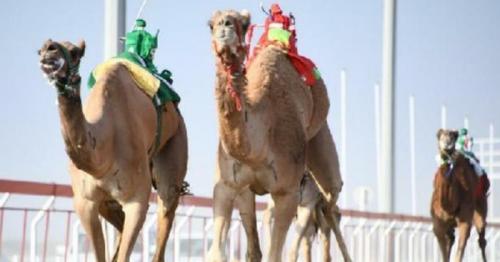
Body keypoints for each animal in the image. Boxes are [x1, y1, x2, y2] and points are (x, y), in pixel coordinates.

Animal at [38, 40, 188, 260]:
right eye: (40, 50)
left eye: (74, 52)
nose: (49, 49)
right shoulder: (85, 202)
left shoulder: (136, 201)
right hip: (108, 201)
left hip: (176, 141)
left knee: (167, 201)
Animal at [205, 10, 350, 262]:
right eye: (210, 24)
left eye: (244, 23)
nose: (225, 25)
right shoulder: (227, 185)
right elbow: (221, 252)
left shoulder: (287, 193)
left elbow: (276, 254)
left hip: (321, 144)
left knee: (331, 206)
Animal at [432, 129, 486, 262]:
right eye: (439, 136)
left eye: (453, 136)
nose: (447, 143)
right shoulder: (438, 225)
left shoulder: (465, 220)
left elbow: (459, 253)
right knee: (451, 238)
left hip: (481, 203)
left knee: (481, 238)